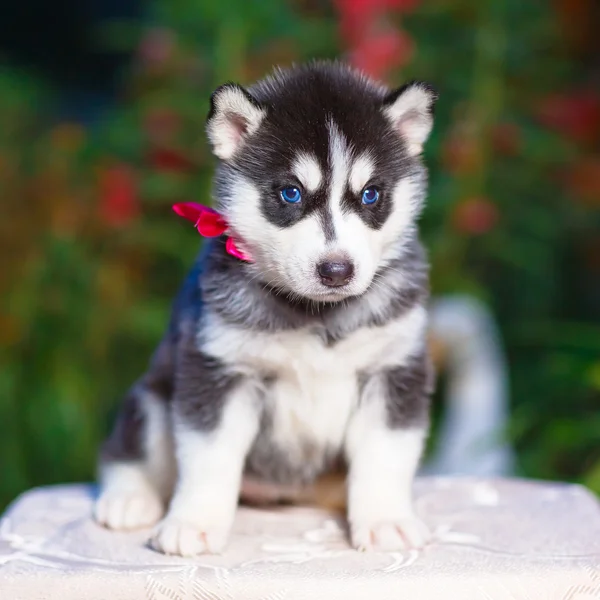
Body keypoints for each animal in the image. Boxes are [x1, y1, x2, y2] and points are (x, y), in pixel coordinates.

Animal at [96, 61, 438, 556]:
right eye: (290, 193)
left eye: (371, 194)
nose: (337, 270)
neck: (316, 316)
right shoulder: (219, 370)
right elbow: (209, 457)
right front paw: (194, 523)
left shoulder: (394, 370)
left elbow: (384, 455)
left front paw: (386, 519)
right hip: (152, 396)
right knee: (131, 446)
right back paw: (128, 497)